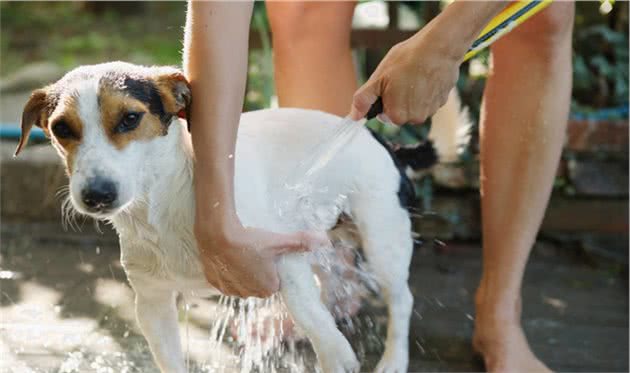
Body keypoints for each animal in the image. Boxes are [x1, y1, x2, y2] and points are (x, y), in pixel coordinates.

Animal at [14, 61, 472, 372]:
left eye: (130, 118)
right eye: (61, 129)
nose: (96, 195)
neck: (166, 203)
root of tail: (385, 142)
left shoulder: (280, 255)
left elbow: (309, 312)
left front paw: (335, 352)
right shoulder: (153, 302)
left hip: (382, 241)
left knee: (400, 299)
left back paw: (392, 359)